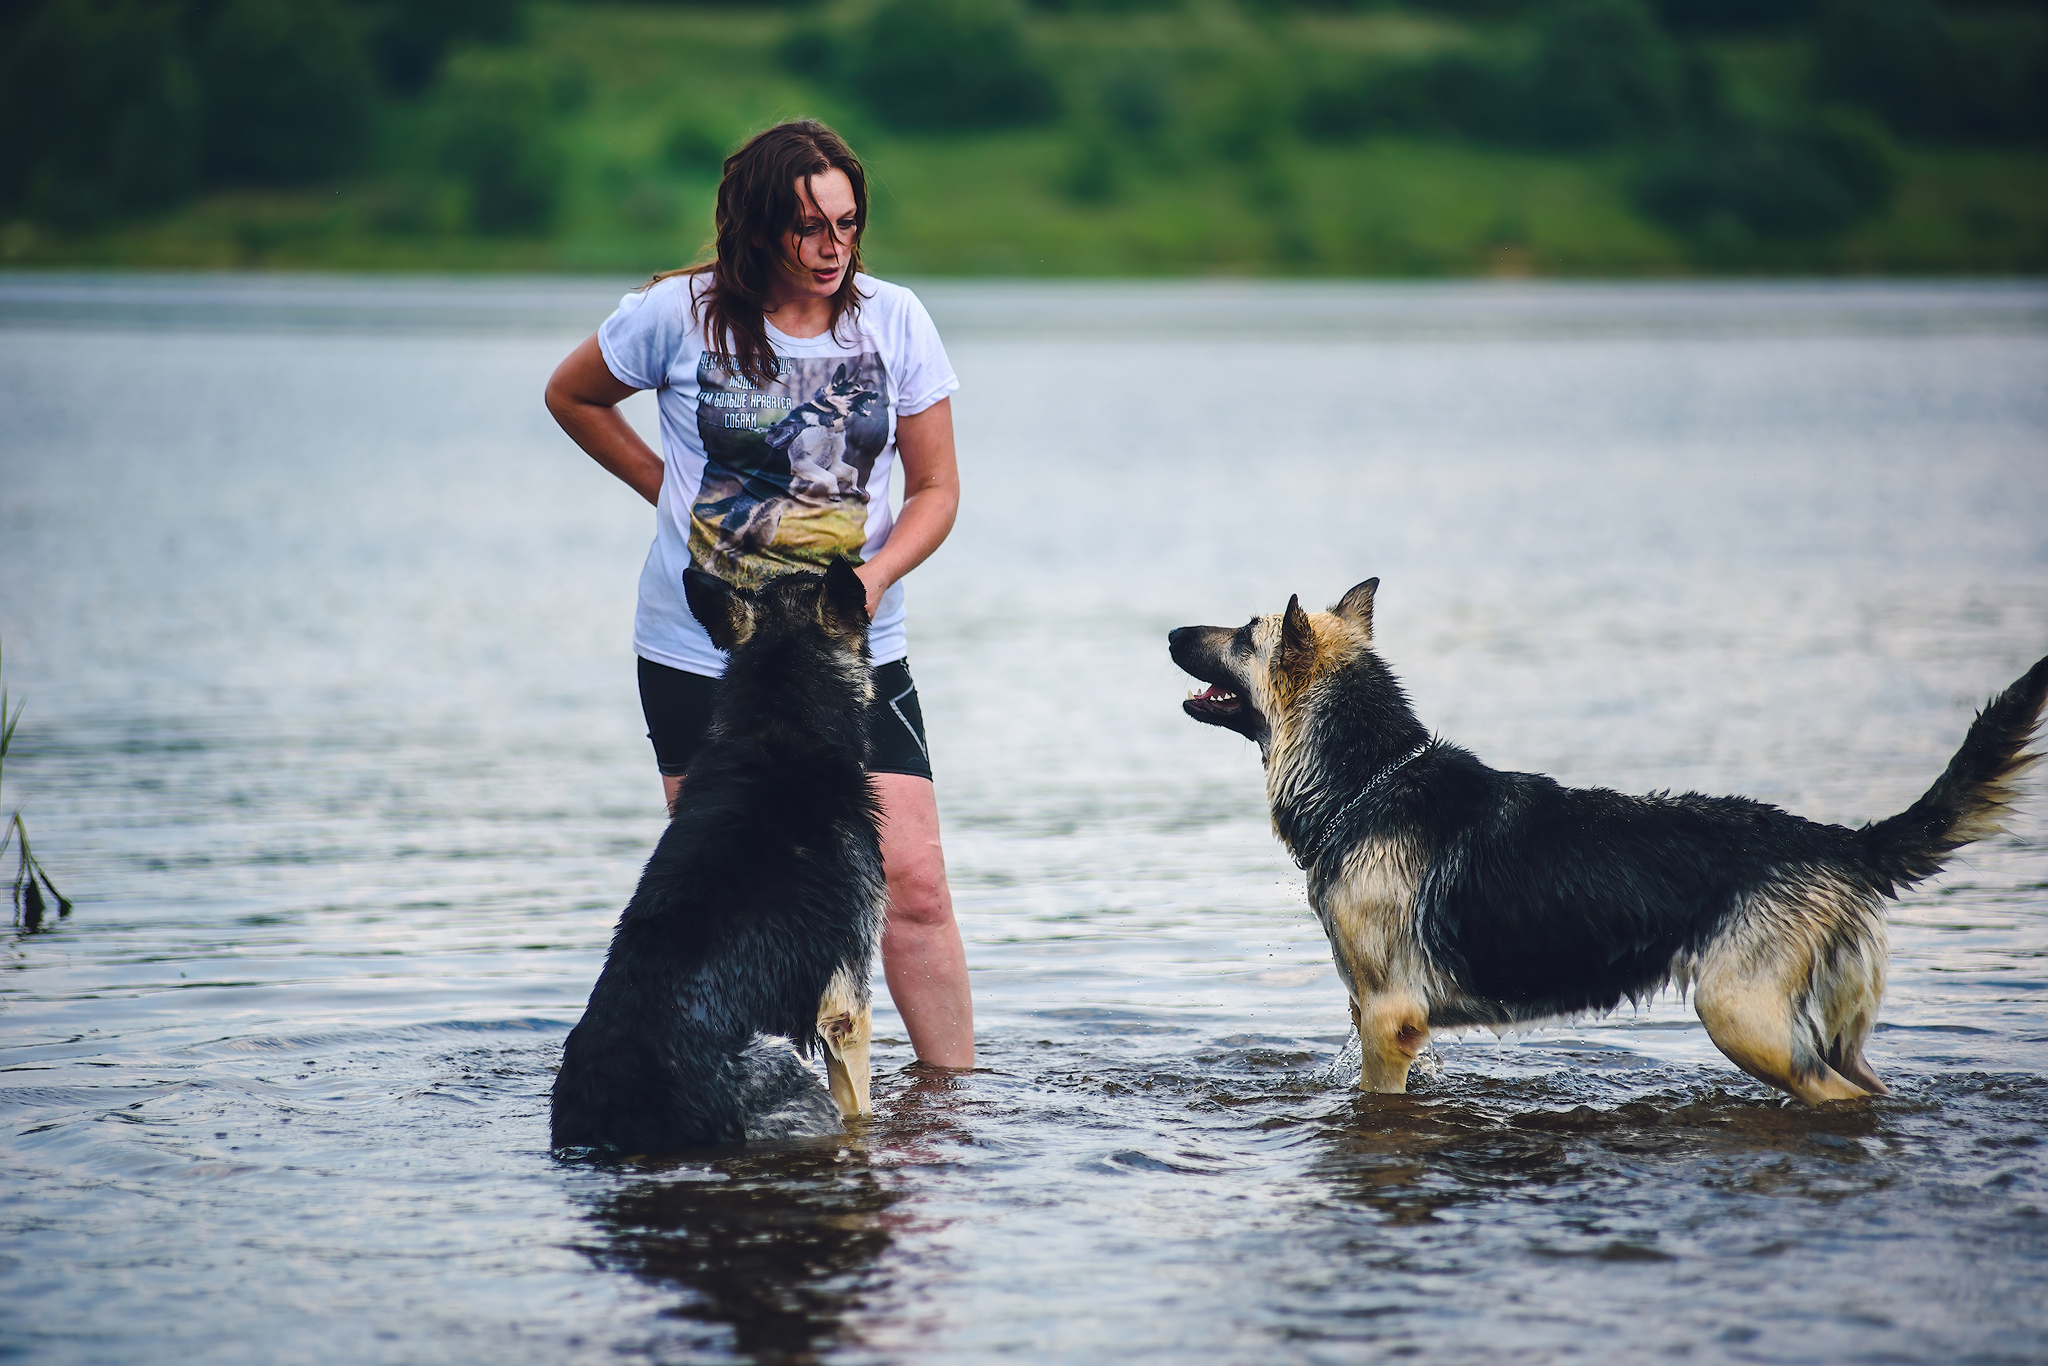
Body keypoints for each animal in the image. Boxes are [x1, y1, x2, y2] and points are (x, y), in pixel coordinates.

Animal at [1171, 581, 2048, 1105]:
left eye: (1242, 634)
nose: (1172, 629)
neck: (1370, 777)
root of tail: (1840, 843)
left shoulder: (1390, 1023)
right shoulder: (1373, 1013)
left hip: (1744, 1020)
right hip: (1819, 1029)